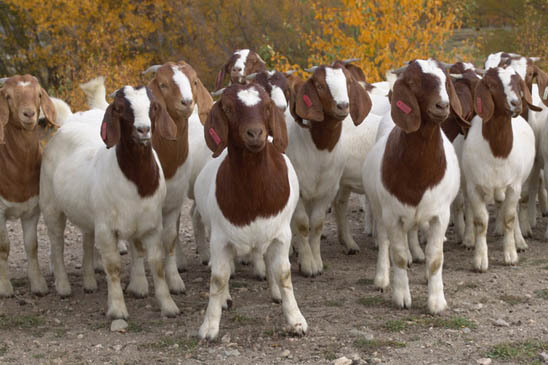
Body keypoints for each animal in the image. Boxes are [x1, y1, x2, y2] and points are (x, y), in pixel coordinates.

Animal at [0, 74, 57, 296]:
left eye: (38, 94)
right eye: (8, 96)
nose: (29, 114)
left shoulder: (32, 210)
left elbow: (32, 245)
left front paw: (39, 284)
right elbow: (4, 247)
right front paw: (5, 287)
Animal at [39, 84, 180, 318]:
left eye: (154, 106)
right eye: (120, 108)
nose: (143, 130)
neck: (137, 182)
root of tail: (67, 124)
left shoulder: (151, 225)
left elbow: (156, 264)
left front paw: (169, 306)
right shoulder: (106, 228)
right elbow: (113, 267)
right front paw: (117, 309)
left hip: (88, 214)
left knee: (87, 240)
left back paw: (89, 282)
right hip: (51, 205)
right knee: (57, 242)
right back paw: (63, 286)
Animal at [194, 82, 306, 338]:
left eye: (267, 107)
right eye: (227, 108)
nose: (255, 134)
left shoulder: (281, 234)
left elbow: (283, 273)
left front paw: (296, 320)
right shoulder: (220, 238)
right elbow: (218, 278)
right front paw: (209, 325)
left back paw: (275, 293)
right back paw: (225, 300)